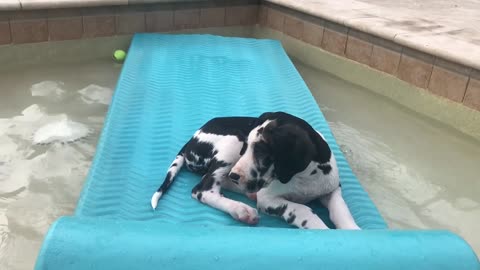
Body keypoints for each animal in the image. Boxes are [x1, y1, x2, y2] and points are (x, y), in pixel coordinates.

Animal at [151, 110, 360, 229]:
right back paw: (241, 210)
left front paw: (352, 231)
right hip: (232, 142)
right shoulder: (268, 199)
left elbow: (341, 211)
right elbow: (303, 210)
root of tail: (192, 139)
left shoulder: (332, 190)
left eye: (261, 151)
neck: (305, 177)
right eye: (246, 148)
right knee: (203, 189)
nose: (235, 175)